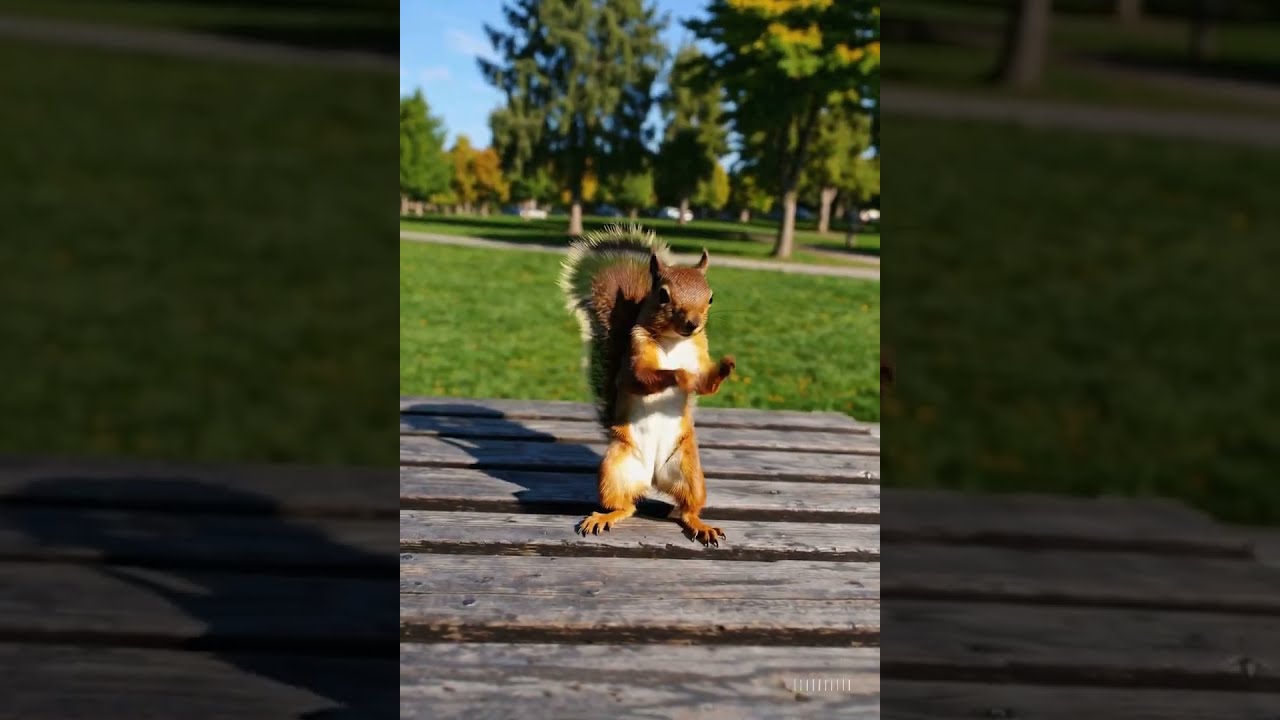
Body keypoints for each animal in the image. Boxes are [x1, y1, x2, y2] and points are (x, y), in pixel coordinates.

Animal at [559, 225, 735, 546]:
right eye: (663, 295)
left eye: (711, 298)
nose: (693, 323)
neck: (675, 341)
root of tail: (653, 477)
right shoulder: (634, 360)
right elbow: (641, 378)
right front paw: (679, 375)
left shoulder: (701, 355)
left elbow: (706, 384)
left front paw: (725, 366)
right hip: (614, 469)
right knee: (625, 506)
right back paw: (604, 517)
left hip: (690, 471)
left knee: (687, 509)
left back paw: (701, 524)